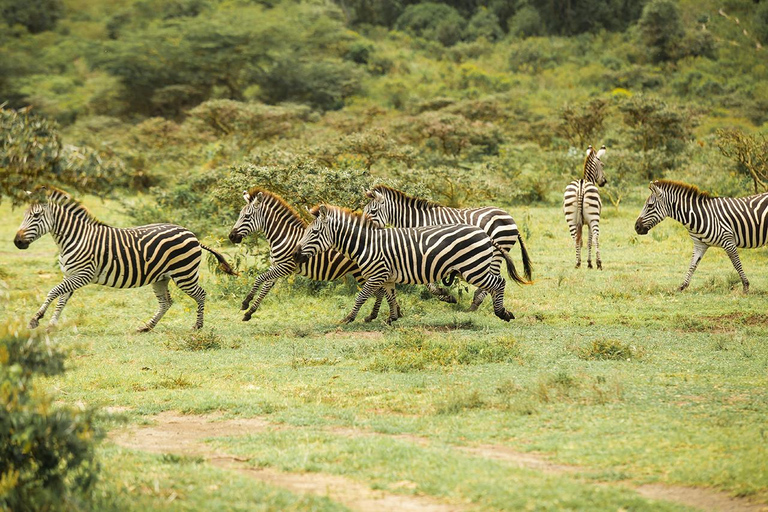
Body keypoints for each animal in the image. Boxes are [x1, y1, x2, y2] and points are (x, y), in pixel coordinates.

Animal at [11, 186, 234, 330]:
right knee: (166, 302)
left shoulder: (83, 275)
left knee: (201, 294)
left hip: (184, 274)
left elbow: (53, 292)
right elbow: (61, 299)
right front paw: (51, 324)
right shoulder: (70, 275)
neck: (76, 237)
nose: (17, 242)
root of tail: (192, 234)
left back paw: (197, 326)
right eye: (24, 215)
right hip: (161, 277)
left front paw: (36, 319)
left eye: (36, 216)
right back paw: (147, 326)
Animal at [226, 188, 396, 324]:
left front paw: (245, 302)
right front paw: (250, 312)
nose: (231, 237)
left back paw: (379, 315)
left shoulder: (286, 266)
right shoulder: (276, 266)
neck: (283, 236)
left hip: (364, 272)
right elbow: (265, 287)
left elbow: (259, 278)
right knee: (382, 290)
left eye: (247, 216)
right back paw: (392, 313)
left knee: (380, 291)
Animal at [292, 205, 524, 322]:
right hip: (473, 268)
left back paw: (502, 313)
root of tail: (484, 233)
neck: (366, 244)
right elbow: (390, 296)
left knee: (499, 283)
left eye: (314, 232)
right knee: (496, 283)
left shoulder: (376, 275)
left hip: (473, 269)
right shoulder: (386, 277)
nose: (295, 255)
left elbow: (361, 297)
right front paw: (393, 317)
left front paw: (348, 318)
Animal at [362, 186, 532, 310]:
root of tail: (509, 217)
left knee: (494, 276)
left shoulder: (427, 251)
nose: (364, 230)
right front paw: (446, 294)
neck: (419, 222)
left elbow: (428, 282)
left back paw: (476, 303)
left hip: (497, 251)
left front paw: (446, 295)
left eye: (373, 211)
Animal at [636, 180, 768, 292]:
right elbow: (692, 265)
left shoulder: (728, 241)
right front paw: (682, 286)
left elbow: (737, 264)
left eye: (650, 206)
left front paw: (746, 287)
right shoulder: (700, 245)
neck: (699, 216)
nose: (636, 227)